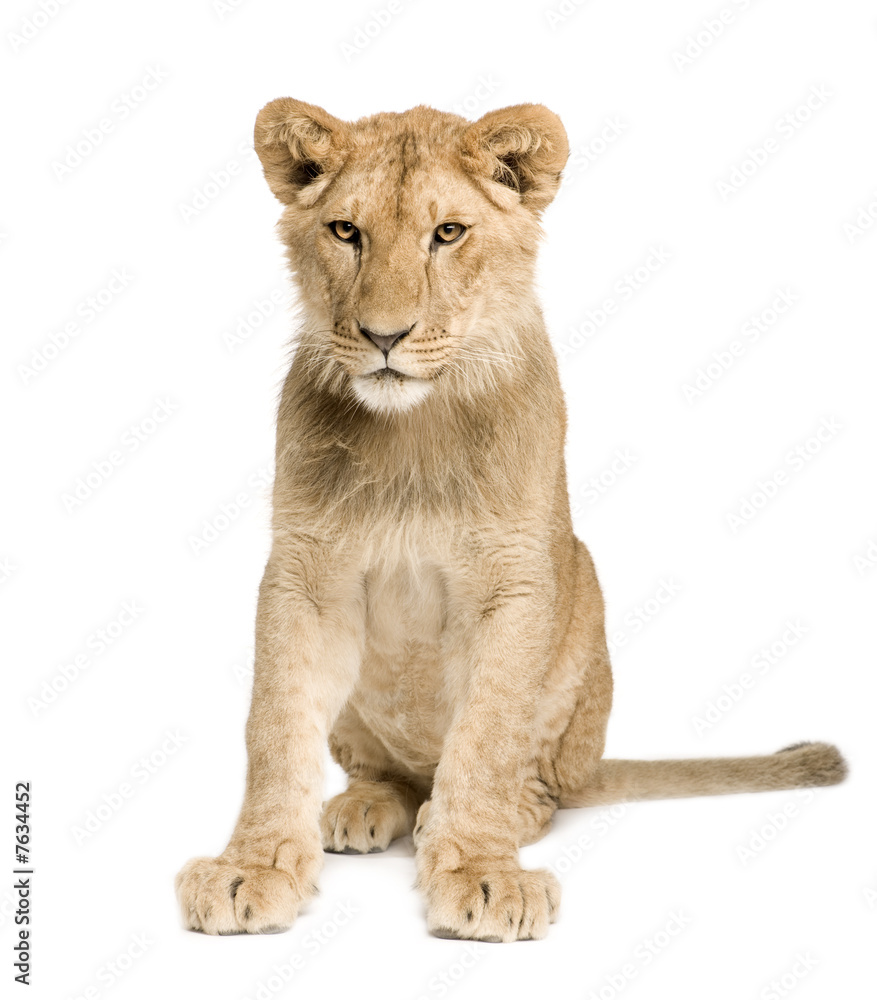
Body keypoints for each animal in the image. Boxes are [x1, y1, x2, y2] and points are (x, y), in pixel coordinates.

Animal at [175, 98, 847, 942]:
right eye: (345, 231)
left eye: (447, 233)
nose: (383, 337)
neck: (410, 433)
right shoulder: (302, 575)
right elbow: (274, 725)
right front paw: (252, 867)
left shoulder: (515, 578)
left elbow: (487, 736)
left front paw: (479, 869)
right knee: (393, 772)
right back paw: (367, 805)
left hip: (580, 593)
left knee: (535, 785)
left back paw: (466, 816)